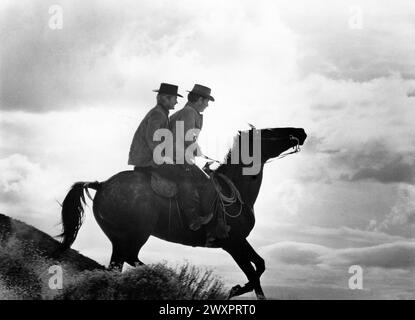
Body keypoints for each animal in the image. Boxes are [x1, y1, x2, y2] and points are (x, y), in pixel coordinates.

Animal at [58, 126, 308, 298]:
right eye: (271, 131)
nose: (301, 131)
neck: (236, 190)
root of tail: (101, 184)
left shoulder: (240, 241)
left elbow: (260, 265)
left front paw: (237, 289)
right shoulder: (232, 244)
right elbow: (253, 275)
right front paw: (235, 290)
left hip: (118, 239)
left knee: (116, 267)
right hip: (135, 235)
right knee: (131, 257)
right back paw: (170, 279)